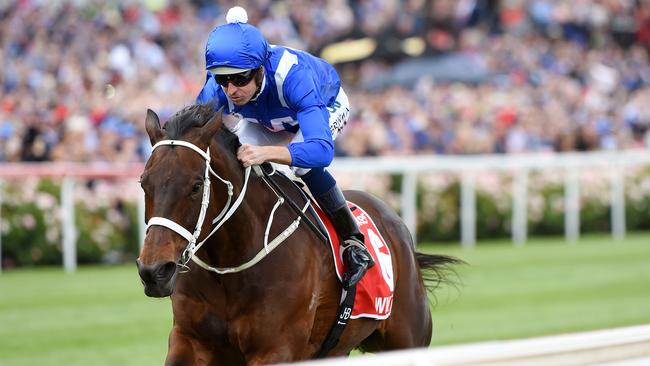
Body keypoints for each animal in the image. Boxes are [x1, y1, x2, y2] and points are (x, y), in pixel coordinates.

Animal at [137, 104, 460, 364]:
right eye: (143, 182)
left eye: (195, 186)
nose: (155, 271)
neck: (228, 267)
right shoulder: (189, 341)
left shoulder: (276, 349)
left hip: (406, 340)